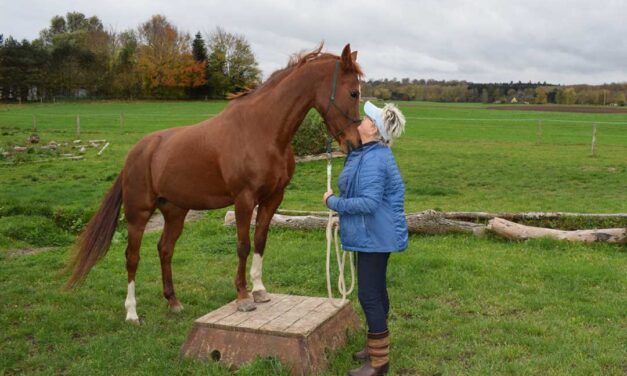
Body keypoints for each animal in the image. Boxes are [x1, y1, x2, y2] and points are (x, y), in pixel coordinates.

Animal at [65, 43, 364, 320]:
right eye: (353, 92)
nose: (355, 144)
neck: (262, 130)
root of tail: (137, 152)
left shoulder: (273, 197)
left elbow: (260, 240)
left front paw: (260, 290)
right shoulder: (244, 199)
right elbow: (243, 245)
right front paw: (243, 297)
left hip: (175, 211)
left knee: (165, 249)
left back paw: (173, 302)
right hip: (138, 214)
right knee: (132, 257)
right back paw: (132, 313)